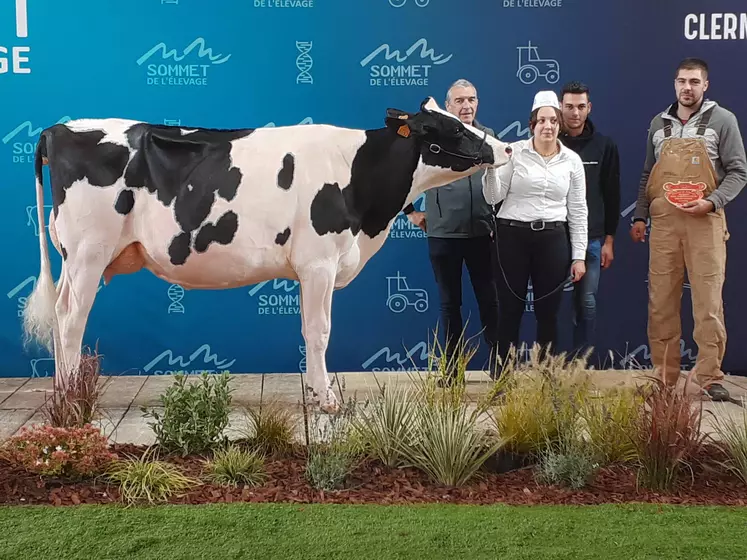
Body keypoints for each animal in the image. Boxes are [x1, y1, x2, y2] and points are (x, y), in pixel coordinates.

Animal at [24, 95, 516, 412]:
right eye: (455, 128)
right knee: (71, 319)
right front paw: (327, 399)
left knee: (61, 313)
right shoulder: (319, 262)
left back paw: (62, 389)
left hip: (75, 258)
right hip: (88, 252)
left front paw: (319, 392)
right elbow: (319, 331)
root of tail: (58, 129)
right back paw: (72, 396)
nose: (507, 146)